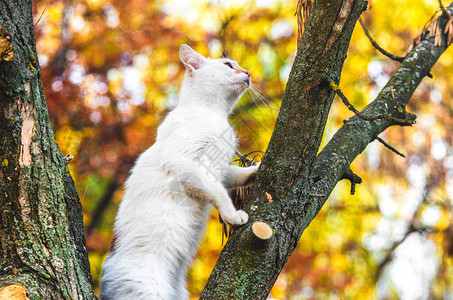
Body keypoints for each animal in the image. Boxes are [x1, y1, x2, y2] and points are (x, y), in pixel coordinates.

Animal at [100, 44, 260, 300]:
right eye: (228, 65)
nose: (247, 72)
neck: (214, 114)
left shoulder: (219, 168)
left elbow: (233, 176)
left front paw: (256, 169)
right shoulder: (185, 165)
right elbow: (218, 192)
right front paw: (233, 215)